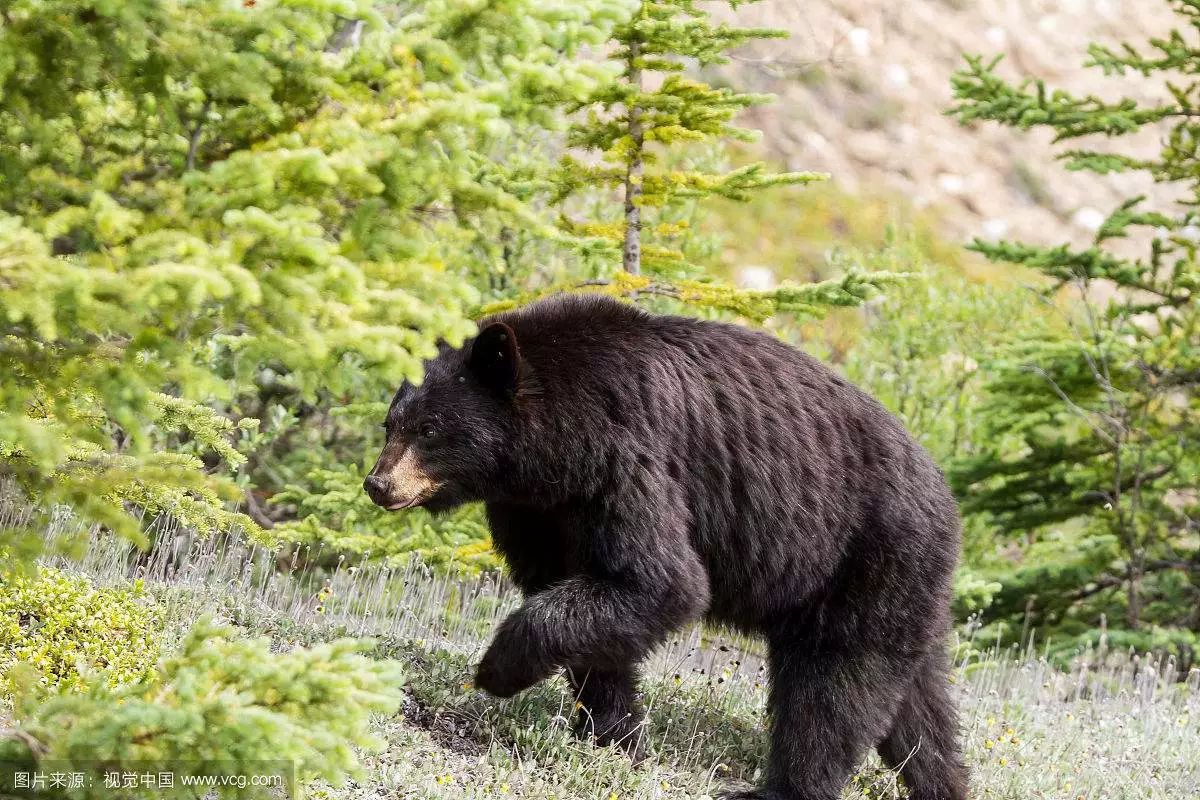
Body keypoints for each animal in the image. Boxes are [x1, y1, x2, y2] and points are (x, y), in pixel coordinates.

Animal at [362, 296, 964, 800]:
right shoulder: (538, 511)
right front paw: (614, 735)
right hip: (905, 589)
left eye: (430, 429)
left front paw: (496, 669)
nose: (378, 484)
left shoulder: (629, 459)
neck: (557, 448)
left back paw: (784, 788)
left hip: (865, 554)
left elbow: (662, 582)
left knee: (836, 683)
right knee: (917, 702)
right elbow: (583, 597)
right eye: (391, 423)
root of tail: (944, 491)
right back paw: (944, 782)